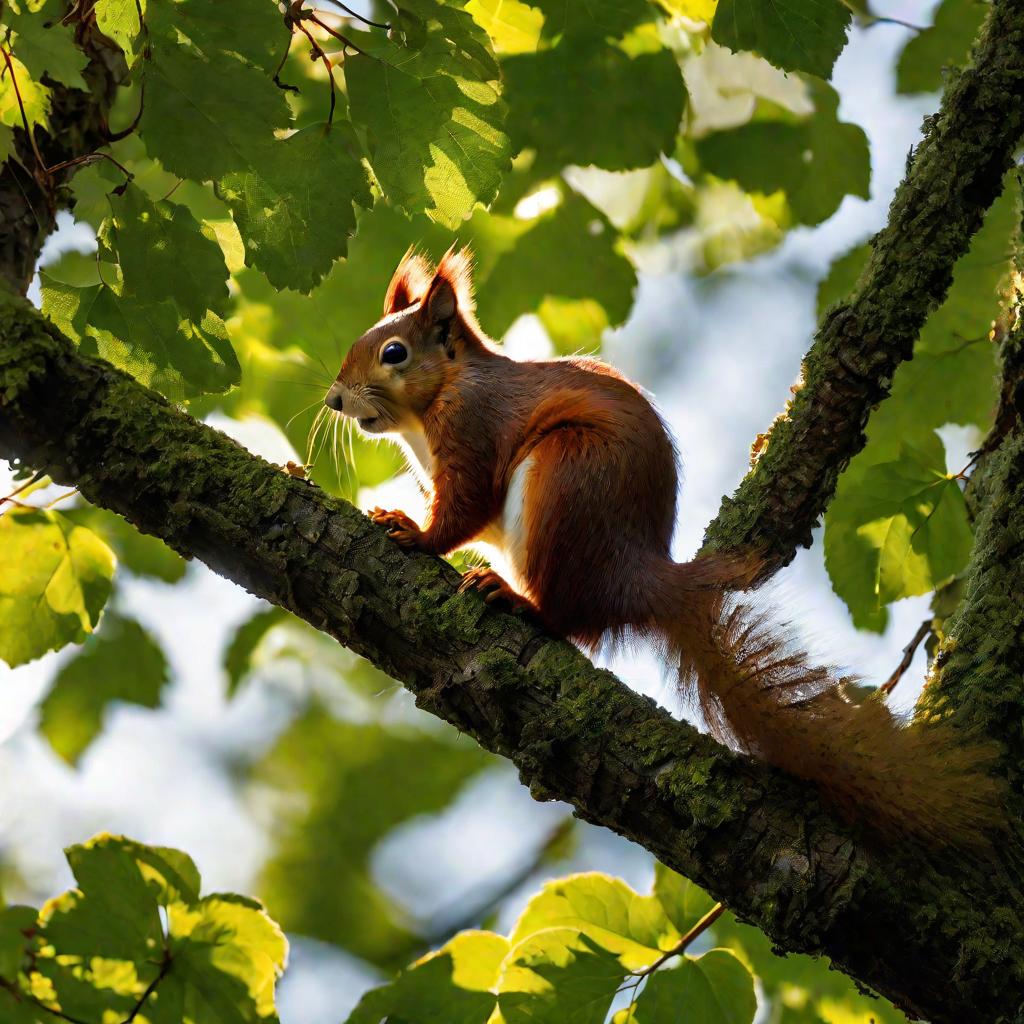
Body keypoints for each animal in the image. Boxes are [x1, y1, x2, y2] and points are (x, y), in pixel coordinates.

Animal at [325, 245, 999, 839]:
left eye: (393, 353)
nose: (333, 398)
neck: (435, 402)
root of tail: (636, 576)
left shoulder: (474, 431)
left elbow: (463, 511)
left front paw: (415, 533)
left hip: (565, 481)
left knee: (567, 616)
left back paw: (519, 601)